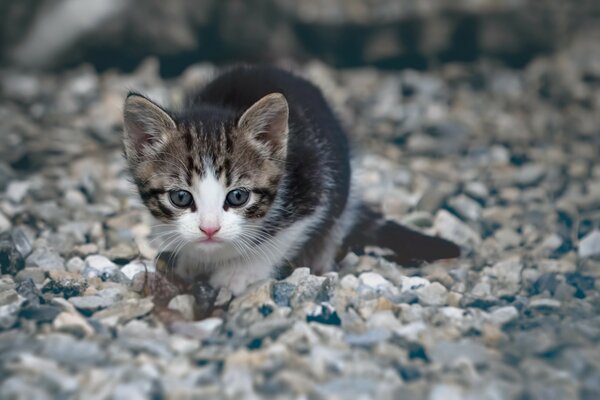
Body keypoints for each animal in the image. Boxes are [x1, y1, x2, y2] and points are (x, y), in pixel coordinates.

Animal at [123, 65, 460, 296]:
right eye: (180, 197)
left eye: (237, 197)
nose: (209, 229)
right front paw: (191, 259)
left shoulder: (315, 186)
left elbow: (281, 239)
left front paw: (237, 274)